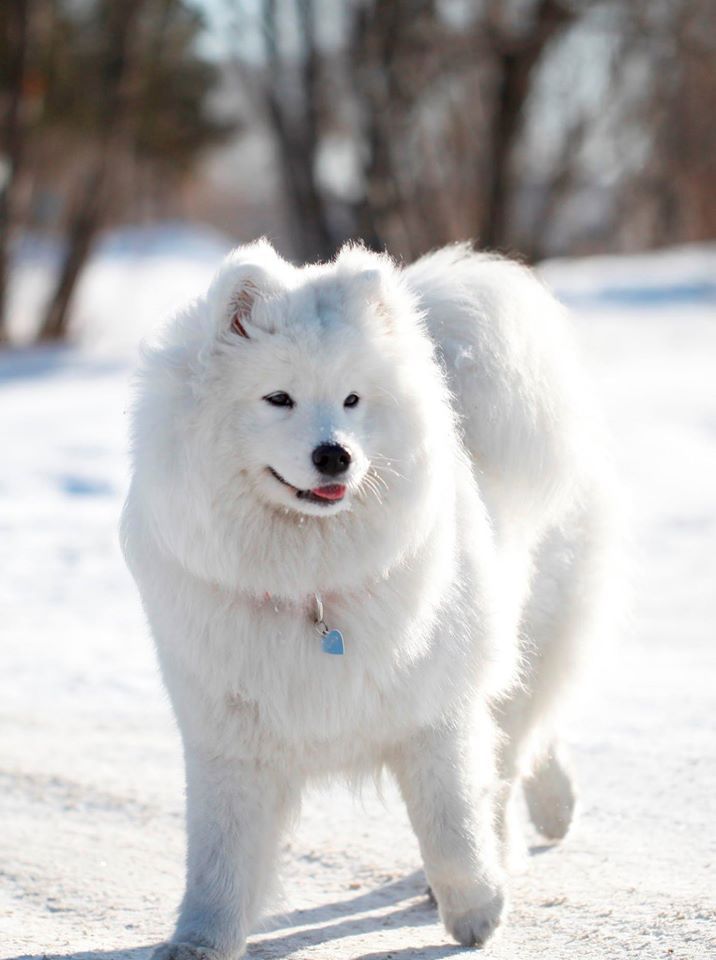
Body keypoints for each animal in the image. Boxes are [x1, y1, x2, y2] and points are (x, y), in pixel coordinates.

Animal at [121, 238, 616, 952]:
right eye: (278, 398)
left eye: (353, 400)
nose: (335, 455)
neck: (310, 585)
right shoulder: (229, 734)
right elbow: (219, 857)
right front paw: (199, 941)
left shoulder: (434, 711)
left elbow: (452, 824)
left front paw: (475, 913)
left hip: (529, 633)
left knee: (515, 749)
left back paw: (535, 826)